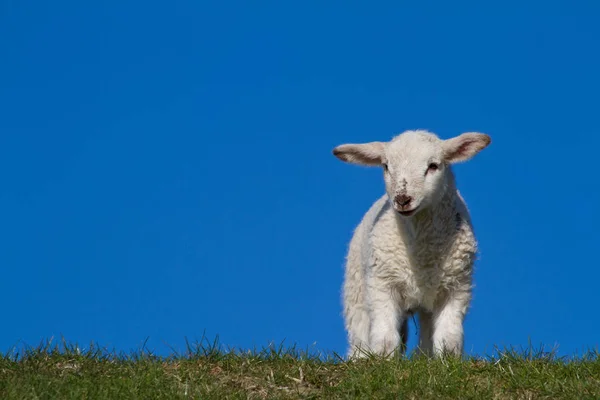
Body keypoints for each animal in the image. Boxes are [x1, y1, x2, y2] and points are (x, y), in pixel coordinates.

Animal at [332, 130, 492, 358]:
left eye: (433, 165)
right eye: (386, 166)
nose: (402, 199)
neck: (420, 253)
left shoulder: (457, 288)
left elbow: (448, 339)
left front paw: (446, 362)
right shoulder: (382, 284)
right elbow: (386, 338)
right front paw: (383, 360)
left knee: (425, 333)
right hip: (356, 290)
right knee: (360, 331)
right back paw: (360, 358)